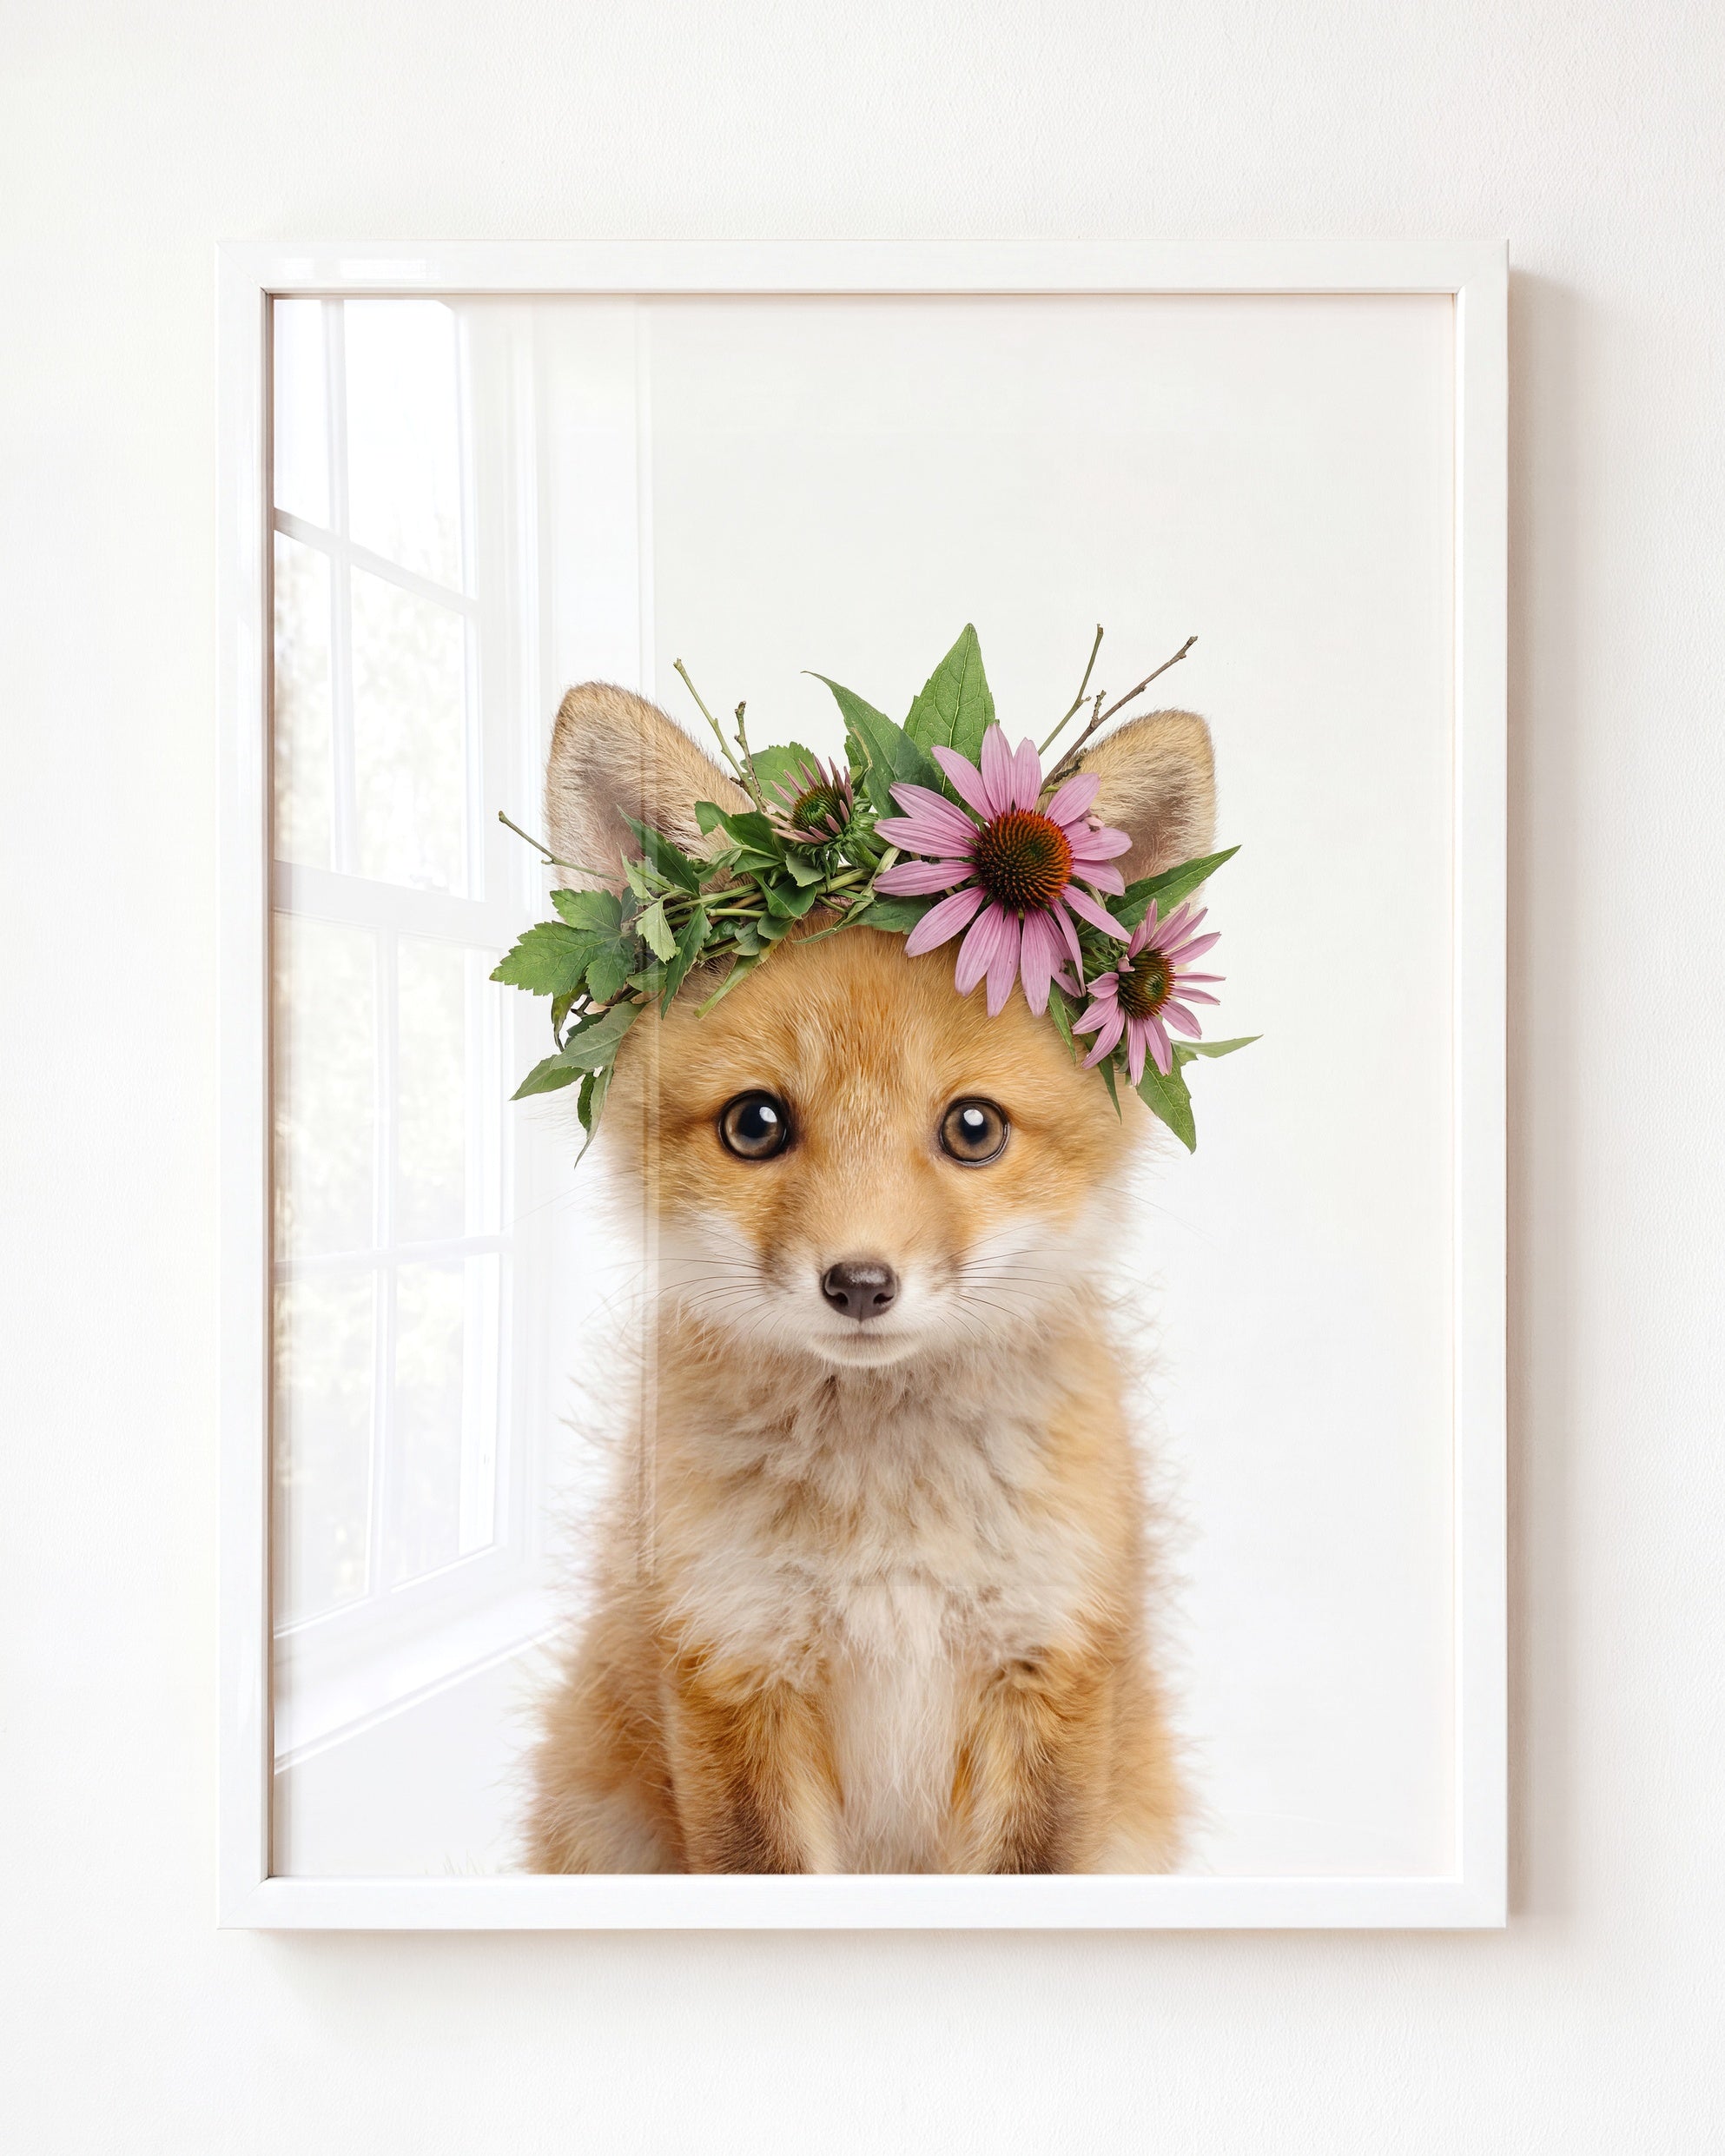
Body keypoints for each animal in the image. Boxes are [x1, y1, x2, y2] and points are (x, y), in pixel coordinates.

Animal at [522, 678, 1218, 1874]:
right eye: (755, 1124)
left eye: (974, 1129)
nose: (858, 1283)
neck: (889, 1533)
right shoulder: (731, 1663)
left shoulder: (1049, 1666)